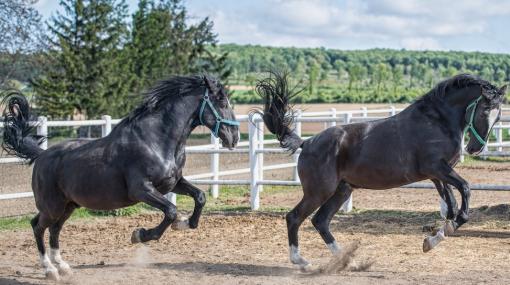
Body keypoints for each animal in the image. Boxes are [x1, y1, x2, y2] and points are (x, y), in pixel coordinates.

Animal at [0, 74, 240, 278]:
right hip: (52, 206)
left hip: (68, 205)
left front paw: (184, 224)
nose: (234, 137)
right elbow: (171, 211)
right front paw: (140, 234)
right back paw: (50, 270)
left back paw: (63, 267)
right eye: (222, 101)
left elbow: (200, 197)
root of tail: (41, 156)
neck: (156, 140)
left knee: (54, 229)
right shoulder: (141, 190)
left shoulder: (173, 183)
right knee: (38, 226)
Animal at [255, 71, 506, 268]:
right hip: (319, 191)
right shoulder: (436, 168)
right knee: (294, 217)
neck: (437, 121)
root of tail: (306, 143)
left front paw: (433, 239)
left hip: (342, 190)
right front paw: (439, 235)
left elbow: (451, 206)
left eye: (498, 116)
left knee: (320, 221)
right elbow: (464, 191)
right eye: (485, 110)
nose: (475, 148)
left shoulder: (438, 175)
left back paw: (349, 261)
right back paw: (301, 262)